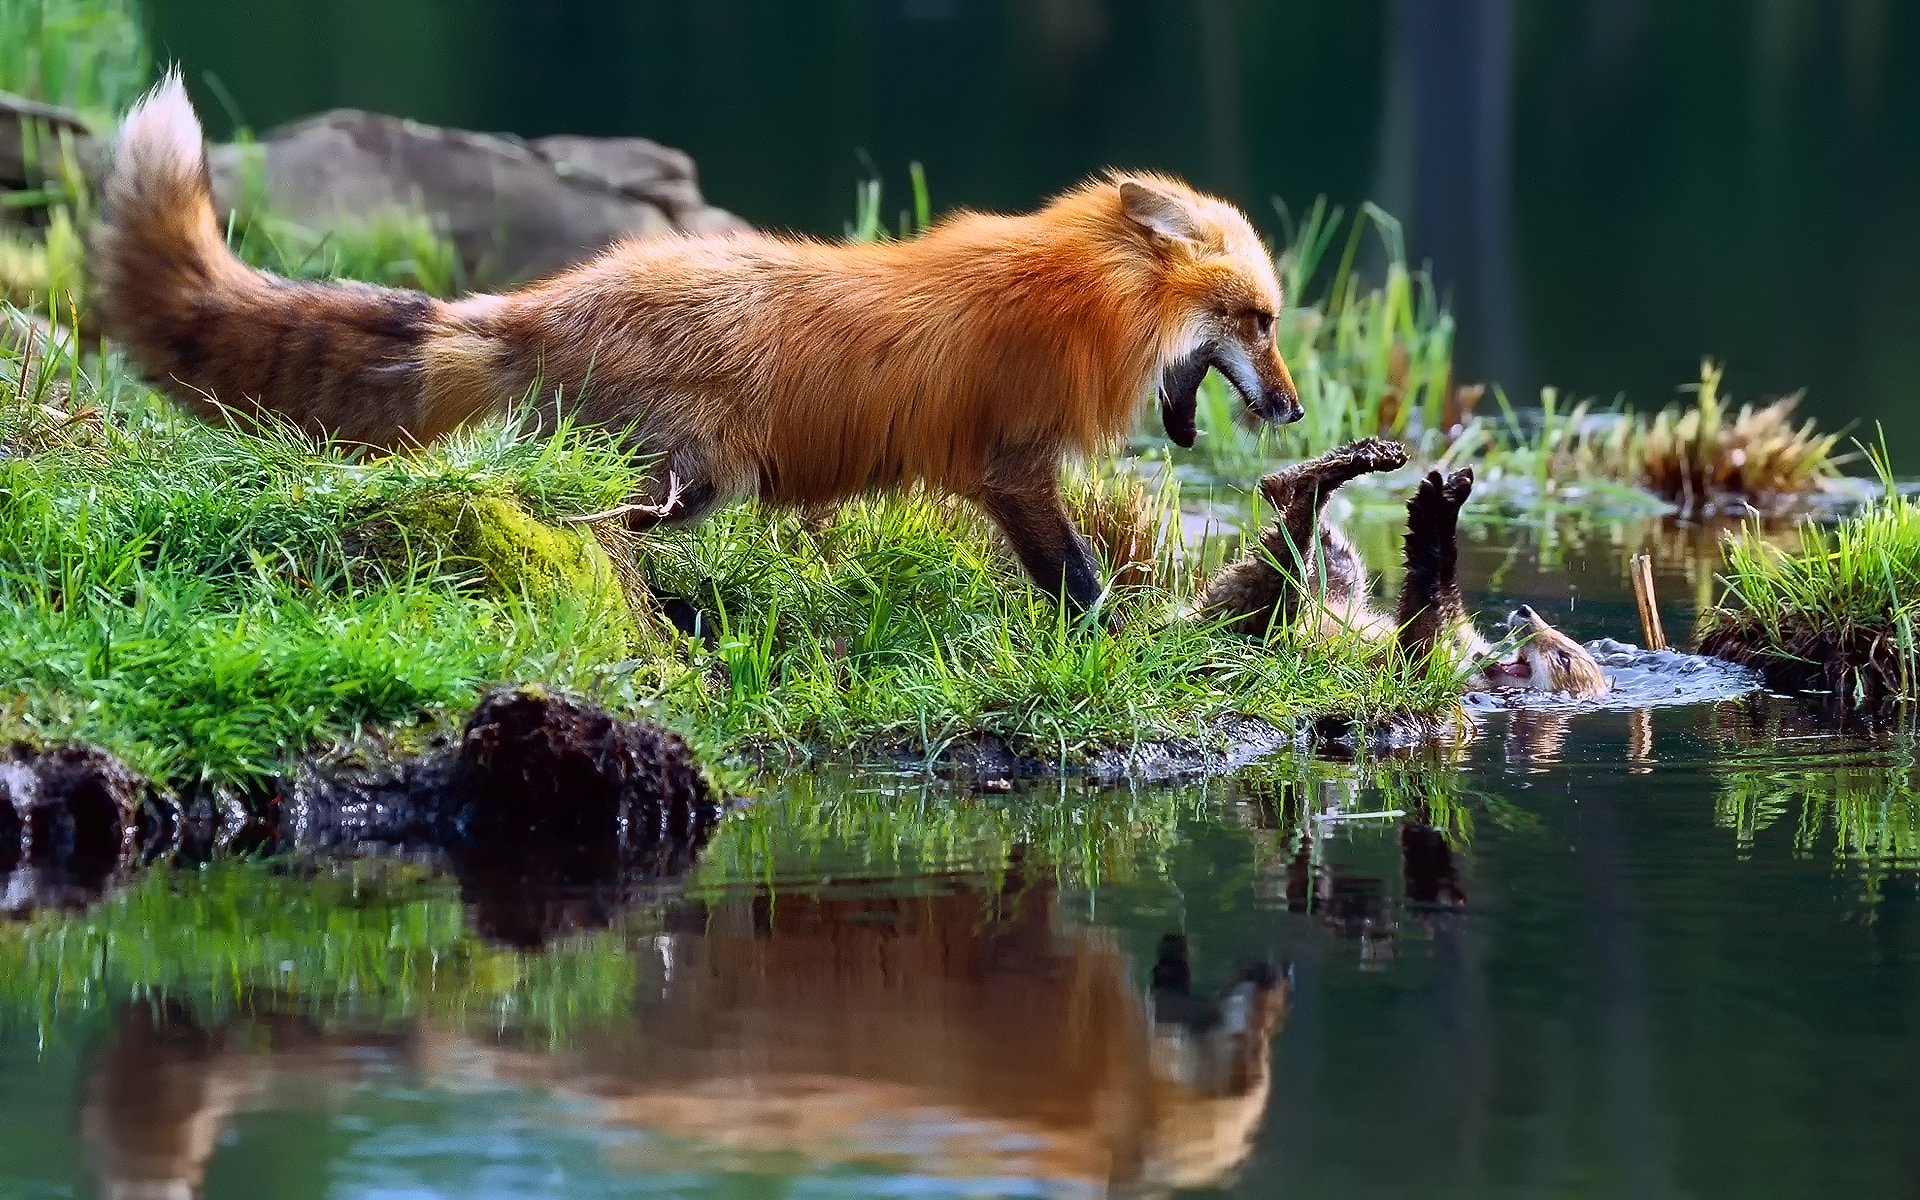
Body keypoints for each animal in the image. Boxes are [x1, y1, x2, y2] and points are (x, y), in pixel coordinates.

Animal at [90, 71, 1301, 612]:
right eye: (1259, 320)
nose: (1292, 410)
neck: (1086, 296)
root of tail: (546, 299)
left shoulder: (1007, 475)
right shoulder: (1014, 467)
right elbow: (1080, 579)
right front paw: (1119, 639)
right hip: (687, 478)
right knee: (576, 518)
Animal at [1194, 438, 1610, 698]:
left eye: (1563, 657)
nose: (1525, 612)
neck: (1472, 662)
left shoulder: (1427, 669)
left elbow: (1418, 627)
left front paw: (1432, 515)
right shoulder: (1458, 637)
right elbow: (1447, 601)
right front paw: (1447, 499)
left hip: (1262, 612)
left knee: (1282, 566)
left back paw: (1320, 482)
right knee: (1323, 556)